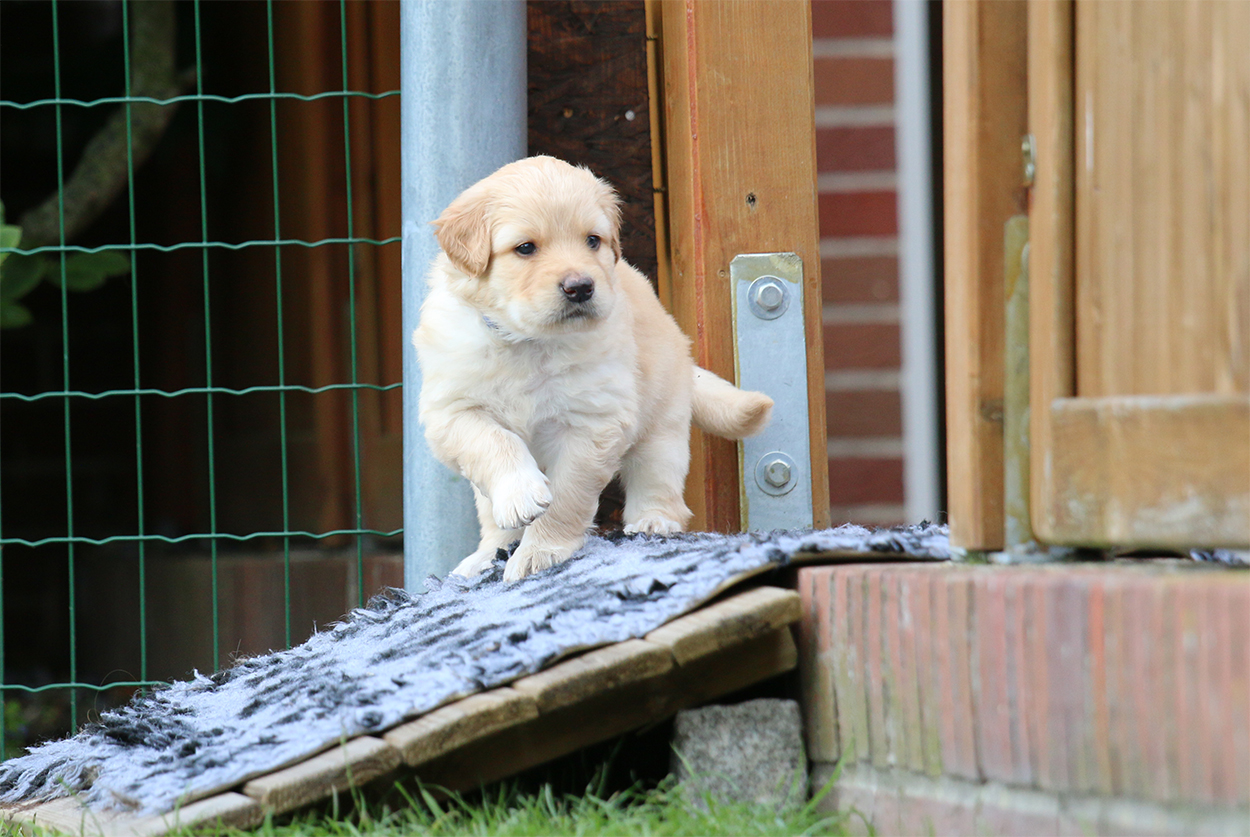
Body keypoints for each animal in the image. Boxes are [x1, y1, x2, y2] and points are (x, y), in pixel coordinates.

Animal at [413, 156, 773, 582]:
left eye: (592, 241)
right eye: (525, 248)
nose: (580, 287)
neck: (528, 343)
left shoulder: (593, 422)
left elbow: (567, 496)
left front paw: (540, 552)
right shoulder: (452, 411)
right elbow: (495, 442)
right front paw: (521, 497)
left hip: (661, 425)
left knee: (659, 481)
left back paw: (653, 522)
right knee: (492, 518)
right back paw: (484, 556)